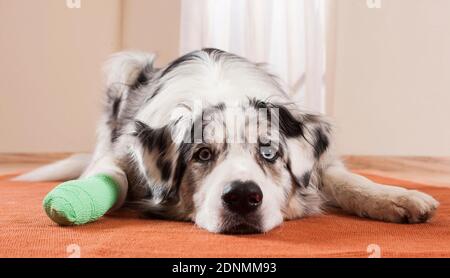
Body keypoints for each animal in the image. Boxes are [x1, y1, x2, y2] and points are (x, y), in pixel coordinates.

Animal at [16, 48, 436, 233]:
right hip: (125, 71)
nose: (243, 197)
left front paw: (399, 198)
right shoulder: (121, 155)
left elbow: (347, 179)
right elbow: (111, 177)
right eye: (202, 154)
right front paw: (74, 199)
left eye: (269, 152)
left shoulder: (319, 162)